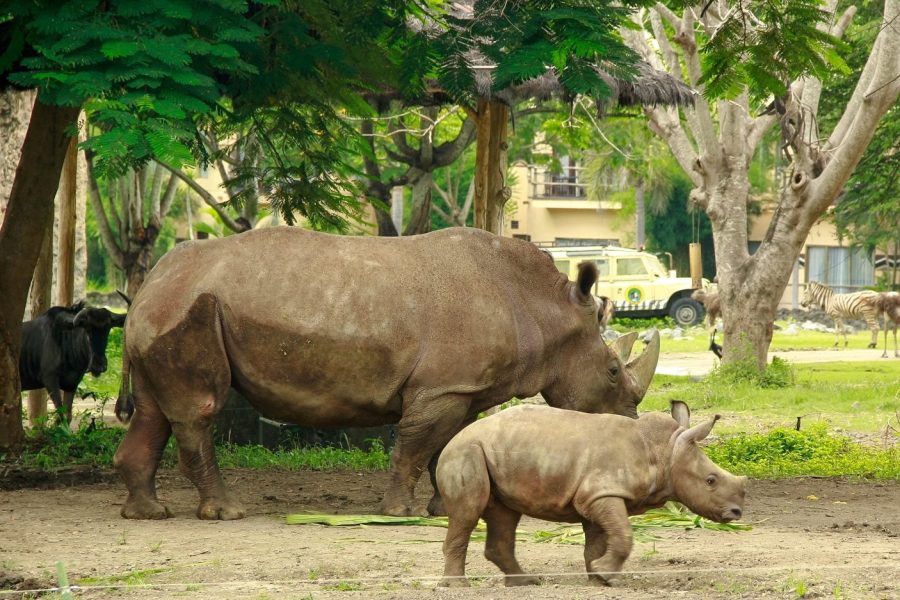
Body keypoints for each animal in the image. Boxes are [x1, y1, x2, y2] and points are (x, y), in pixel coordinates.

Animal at [114, 227, 660, 520]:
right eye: (614, 371)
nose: (631, 432)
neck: (544, 308)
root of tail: (147, 285)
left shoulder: (461, 389)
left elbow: (449, 445)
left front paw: (447, 509)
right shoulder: (441, 388)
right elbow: (416, 446)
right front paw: (399, 513)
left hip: (167, 311)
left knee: (154, 412)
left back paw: (148, 513)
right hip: (189, 308)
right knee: (198, 410)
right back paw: (226, 513)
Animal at [437, 401, 746, 587]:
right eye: (710, 481)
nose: (737, 512)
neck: (665, 452)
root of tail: (451, 441)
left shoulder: (597, 494)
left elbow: (600, 540)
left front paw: (599, 578)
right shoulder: (602, 491)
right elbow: (623, 534)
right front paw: (606, 573)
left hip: (497, 454)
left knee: (505, 515)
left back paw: (526, 582)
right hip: (466, 452)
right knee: (468, 512)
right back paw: (458, 586)